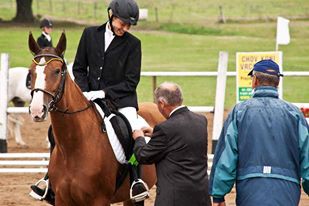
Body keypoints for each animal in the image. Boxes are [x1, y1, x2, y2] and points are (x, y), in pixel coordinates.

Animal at [27, 31, 165, 205]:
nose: (37, 110)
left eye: (57, 71)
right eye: (31, 71)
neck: (74, 146)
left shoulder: (100, 199)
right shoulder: (62, 199)